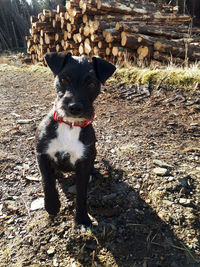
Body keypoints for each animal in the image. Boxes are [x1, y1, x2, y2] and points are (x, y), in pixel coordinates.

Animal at [35, 51, 115, 226]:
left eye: (91, 83)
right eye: (64, 79)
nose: (75, 107)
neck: (70, 125)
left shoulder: (83, 162)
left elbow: (81, 193)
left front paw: (82, 218)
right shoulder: (42, 154)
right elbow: (47, 181)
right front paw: (52, 205)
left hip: (94, 152)